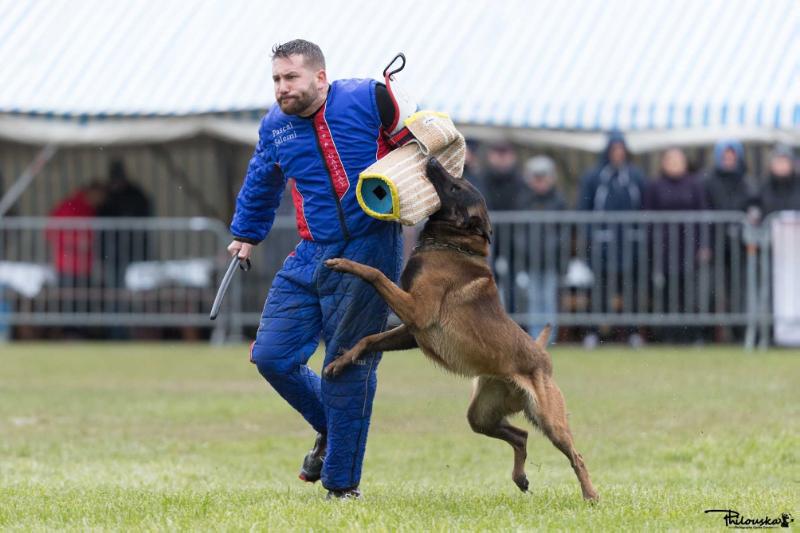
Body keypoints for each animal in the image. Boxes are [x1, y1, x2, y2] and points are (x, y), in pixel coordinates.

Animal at [324, 157, 592, 498]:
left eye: (454, 187)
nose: (432, 160)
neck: (452, 245)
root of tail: (541, 355)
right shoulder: (412, 330)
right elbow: (369, 339)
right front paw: (340, 362)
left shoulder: (417, 312)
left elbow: (374, 274)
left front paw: (344, 264)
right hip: (481, 415)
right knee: (521, 435)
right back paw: (521, 478)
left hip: (549, 419)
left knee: (576, 455)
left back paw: (591, 495)